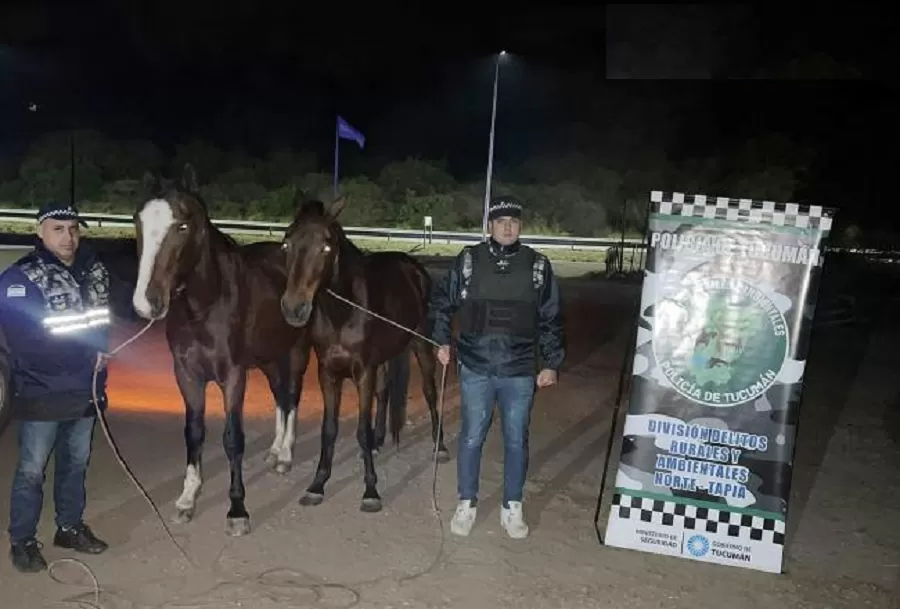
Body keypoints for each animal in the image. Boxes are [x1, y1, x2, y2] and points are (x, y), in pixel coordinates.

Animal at [130, 164, 312, 536]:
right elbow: (194, 433)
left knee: (292, 397)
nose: (147, 302)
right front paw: (188, 499)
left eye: (183, 225)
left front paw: (237, 509)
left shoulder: (233, 376)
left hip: (296, 354)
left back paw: (286, 454)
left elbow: (232, 439)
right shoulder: (187, 375)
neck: (206, 306)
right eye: (138, 222)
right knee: (280, 397)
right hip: (269, 358)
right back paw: (275, 451)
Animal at [278, 197, 446, 510]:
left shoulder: (363, 372)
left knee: (430, 391)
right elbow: (329, 428)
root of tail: (413, 266)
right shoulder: (328, 372)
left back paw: (439, 447)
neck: (343, 312)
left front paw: (370, 490)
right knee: (385, 390)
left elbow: (360, 429)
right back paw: (378, 441)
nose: (294, 308)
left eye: (326, 247)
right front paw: (318, 484)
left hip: (421, 344)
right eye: (286, 244)